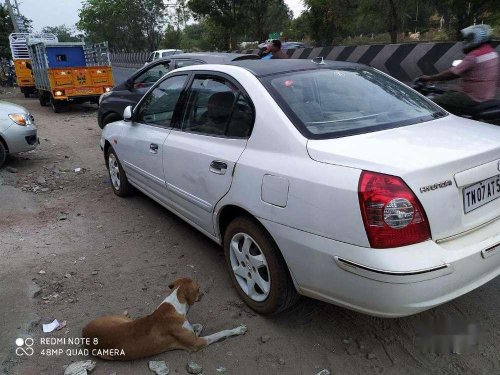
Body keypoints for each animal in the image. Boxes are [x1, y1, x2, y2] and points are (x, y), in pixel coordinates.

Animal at [81, 280, 247, 362]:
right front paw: (238, 329)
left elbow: (198, 326)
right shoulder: (197, 344)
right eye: (198, 289)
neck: (175, 304)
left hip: (116, 319)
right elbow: (220, 333)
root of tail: (83, 334)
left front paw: (196, 329)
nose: (204, 294)